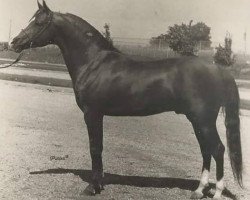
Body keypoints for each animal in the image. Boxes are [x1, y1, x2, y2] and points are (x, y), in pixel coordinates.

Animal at [10, 1, 242, 198]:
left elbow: (95, 147)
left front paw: (93, 187)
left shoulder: (92, 113)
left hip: (203, 120)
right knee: (206, 150)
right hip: (197, 120)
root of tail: (218, 69)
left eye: (39, 22)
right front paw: (99, 184)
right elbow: (98, 147)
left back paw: (216, 193)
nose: (14, 42)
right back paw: (199, 190)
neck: (93, 62)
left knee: (218, 149)